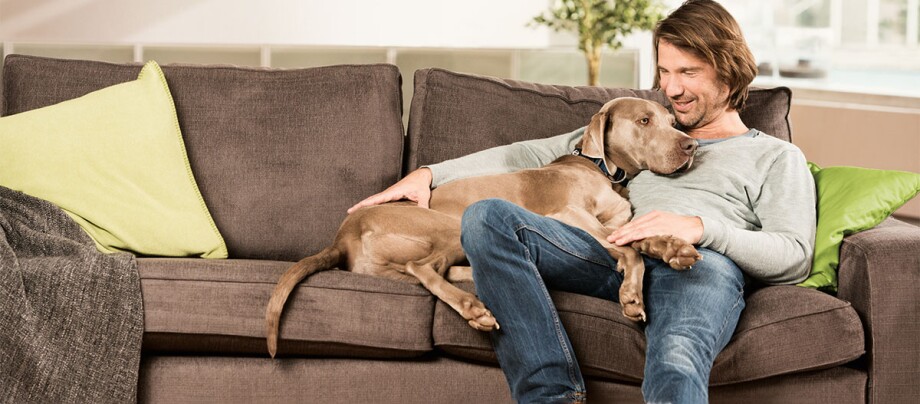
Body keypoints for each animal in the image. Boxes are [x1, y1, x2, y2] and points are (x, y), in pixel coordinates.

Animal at [266, 97, 704, 356]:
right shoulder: (566, 216)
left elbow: (637, 239)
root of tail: (342, 236)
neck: (602, 171)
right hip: (451, 223)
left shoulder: (615, 222)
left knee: (442, 270)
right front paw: (631, 295)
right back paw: (473, 309)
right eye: (645, 120)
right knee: (424, 268)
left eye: (673, 120)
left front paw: (673, 247)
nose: (691, 145)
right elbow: (627, 248)